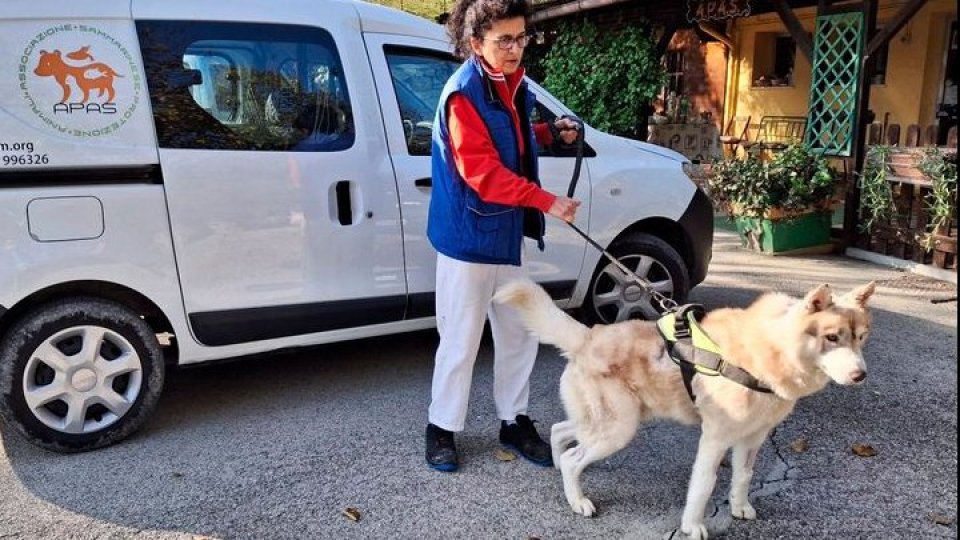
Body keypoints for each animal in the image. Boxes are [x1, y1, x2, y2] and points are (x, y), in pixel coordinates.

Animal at [496, 280, 876, 536]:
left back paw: (559, 467)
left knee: (561, 432)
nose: (860, 375)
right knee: (575, 457)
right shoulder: (715, 438)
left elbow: (743, 477)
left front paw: (739, 507)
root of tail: (589, 334)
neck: (768, 350)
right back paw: (577, 500)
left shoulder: (752, 439)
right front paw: (692, 528)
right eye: (831, 337)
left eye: (861, 337)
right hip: (618, 429)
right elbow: (703, 486)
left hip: (610, 421)